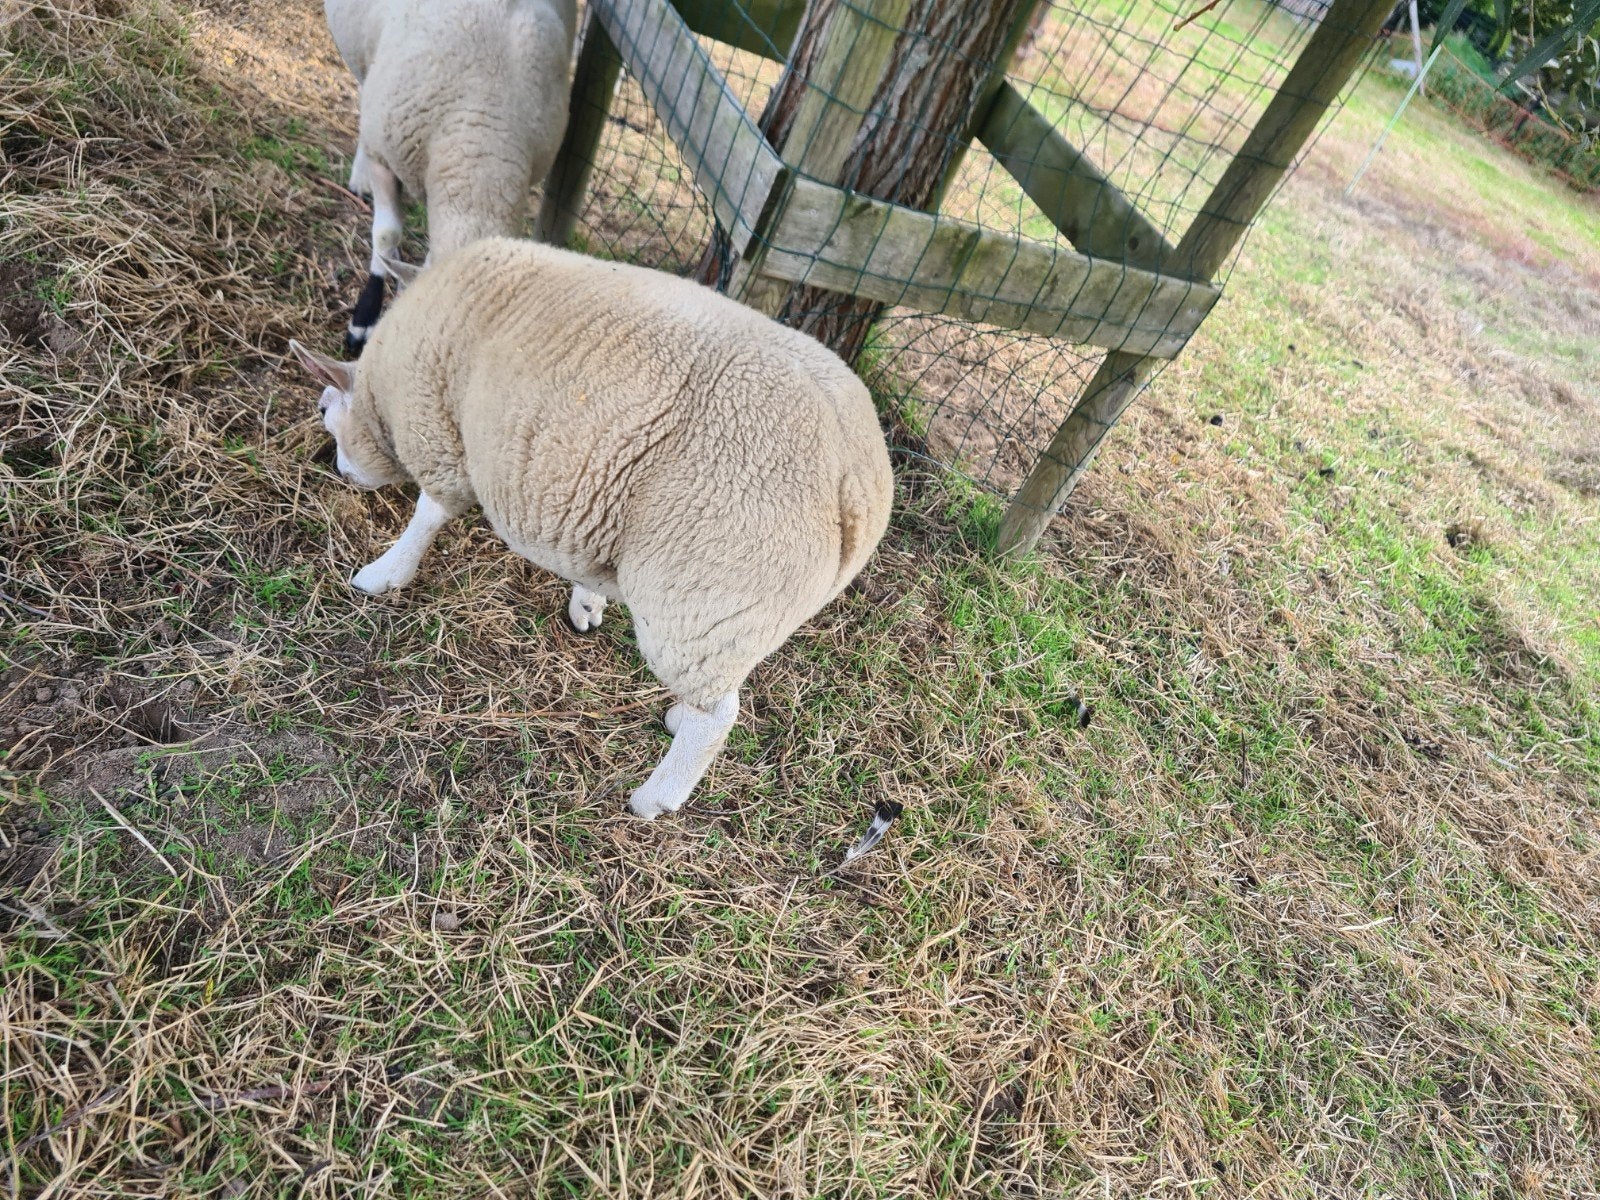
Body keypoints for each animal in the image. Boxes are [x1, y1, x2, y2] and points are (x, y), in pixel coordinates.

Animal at [287, 237, 894, 819]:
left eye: (322, 410)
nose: (337, 469)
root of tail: (855, 480)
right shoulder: (591, 495)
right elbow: (582, 562)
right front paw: (586, 604)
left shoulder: (441, 439)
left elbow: (427, 515)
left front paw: (384, 573)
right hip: (742, 612)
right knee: (721, 686)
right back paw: (676, 718)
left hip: (703, 591)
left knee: (717, 715)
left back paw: (656, 797)